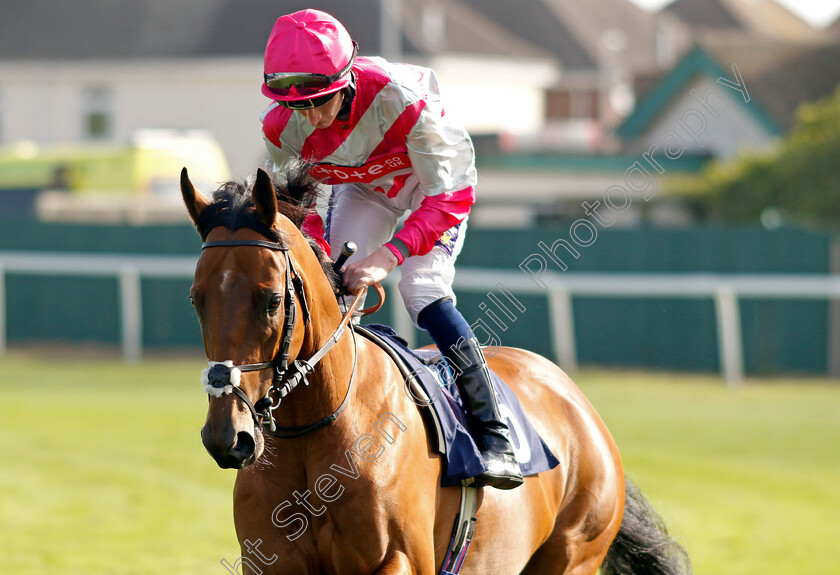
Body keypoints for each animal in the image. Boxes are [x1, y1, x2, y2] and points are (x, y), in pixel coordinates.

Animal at [179, 166, 688, 575]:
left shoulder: (401, 559)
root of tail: (576, 401)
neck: (318, 430)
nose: (227, 436)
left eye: (271, 300)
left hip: (573, 553)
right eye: (196, 300)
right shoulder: (271, 561)